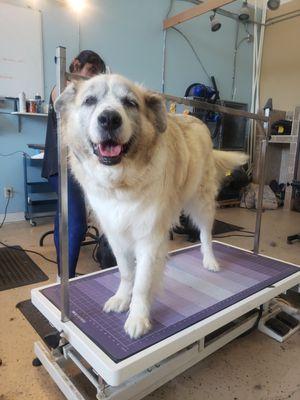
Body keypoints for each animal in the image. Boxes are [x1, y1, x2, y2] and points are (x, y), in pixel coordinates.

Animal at [55, 74, 247, 338]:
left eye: (130, 103)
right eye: (90, 100)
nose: (109, 119)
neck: (121, 183)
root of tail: (196, 118)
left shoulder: (148, 237)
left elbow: (143, 283)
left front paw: (138, 317)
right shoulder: (116, 235)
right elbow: (127, 273)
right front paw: (121, 298)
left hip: (202, 202)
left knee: (206, 234)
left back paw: (210, 261)